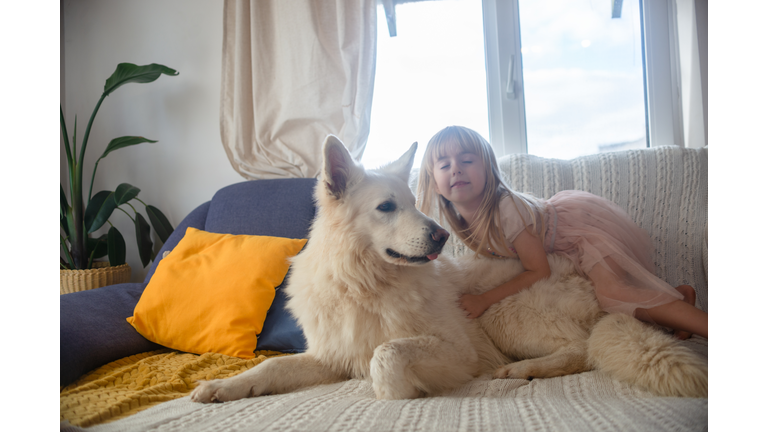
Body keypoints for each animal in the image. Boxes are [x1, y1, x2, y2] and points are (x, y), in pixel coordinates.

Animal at [192, 137, 708, 404]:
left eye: (413, 203)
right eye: (387, 207)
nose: (441, 237)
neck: (365, 283)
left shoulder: (458, 352)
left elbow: (386, 355)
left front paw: (397, 392)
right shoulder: (331, 354)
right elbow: (273, 367)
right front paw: (221, 386)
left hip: (505, 314)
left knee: (582, 350)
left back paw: (522, 369)